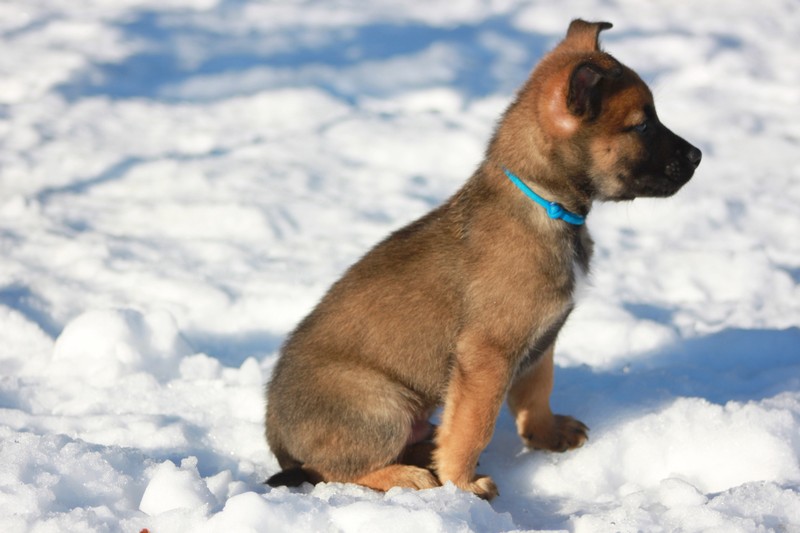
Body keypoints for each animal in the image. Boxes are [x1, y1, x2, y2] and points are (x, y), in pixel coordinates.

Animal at [265, 19, 701, 500]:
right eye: (641, 126)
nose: (698, 156)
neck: (544, 204)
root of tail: (277, 440)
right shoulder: (487, 355)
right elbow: (474, 426)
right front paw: (461, 484)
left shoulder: (542, 339)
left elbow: (536, 391)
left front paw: (546, 434)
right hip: (382, 403)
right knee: (329, 469)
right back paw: (408, 475)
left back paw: (423, 451)